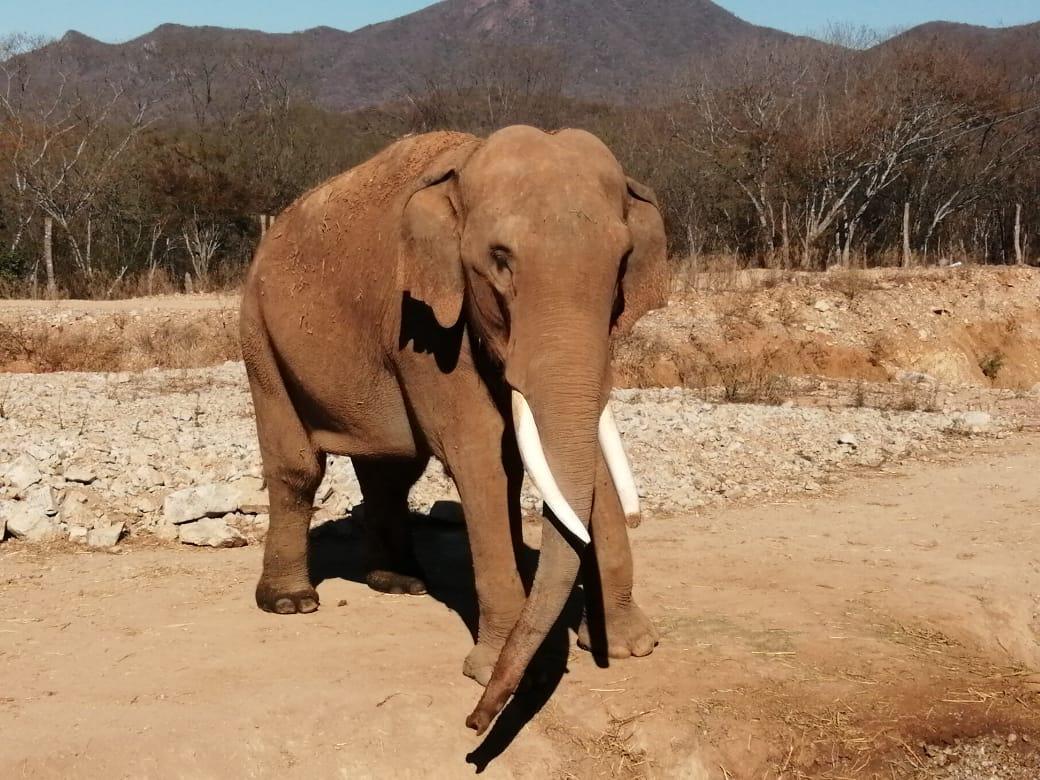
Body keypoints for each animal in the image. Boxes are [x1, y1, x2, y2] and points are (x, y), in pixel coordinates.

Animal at [239, 125, 668, 735]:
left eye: (623, 260)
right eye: (500, 260)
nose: (475, 721)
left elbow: (559, 453)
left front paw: (629, 646)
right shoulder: (423, 322)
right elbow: (478, 454)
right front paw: (509, 673)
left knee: (391, 469)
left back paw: (398, 583)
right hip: (259, 332)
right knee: (297, 466)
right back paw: (291, 602)